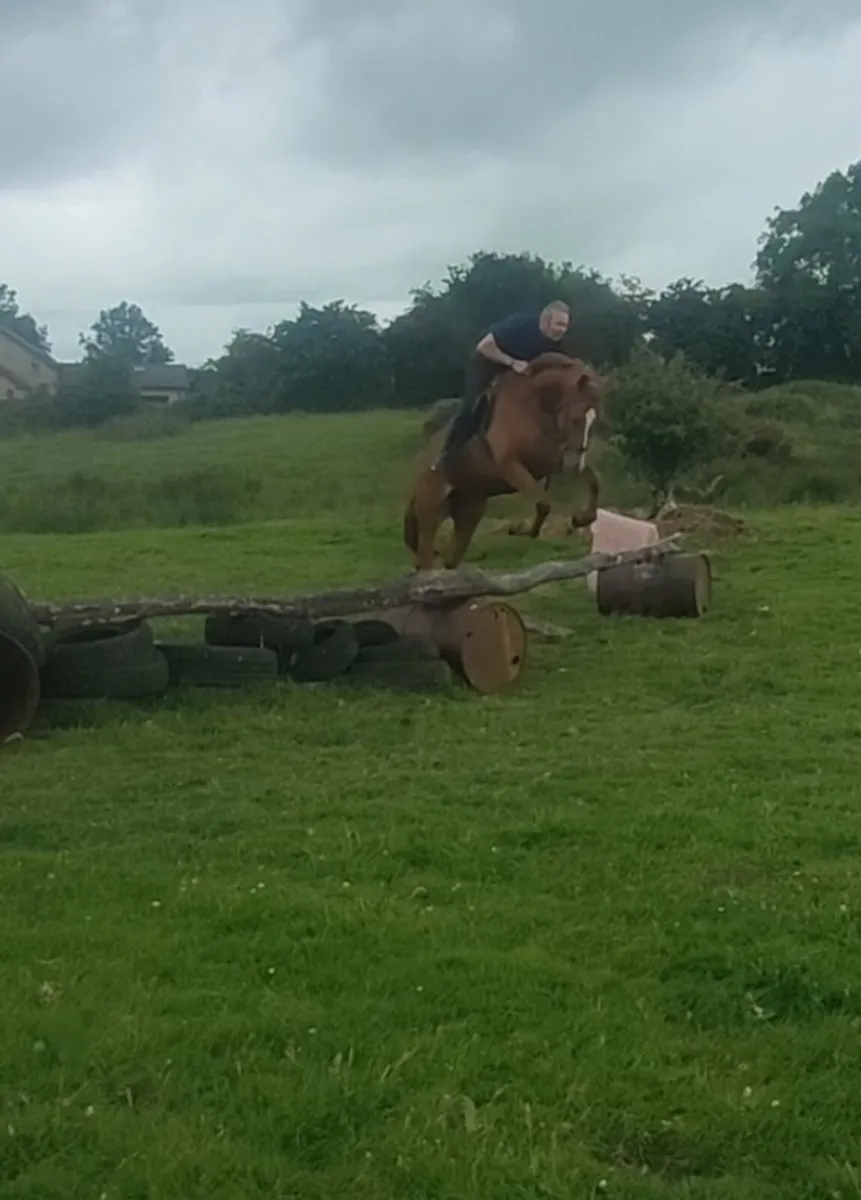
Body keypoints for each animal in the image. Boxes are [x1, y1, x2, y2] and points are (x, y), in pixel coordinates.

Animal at [403, 351, 603, 571]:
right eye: (576, 419)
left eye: (594, 421)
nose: (575, 464)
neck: (534, 406)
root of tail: (419, 464)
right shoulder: (510, 465)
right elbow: (543, 503)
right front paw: (521, 529)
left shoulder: (550, 460)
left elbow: (593, 481)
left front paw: (582, 519)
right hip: (430, 511)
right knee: (425, 560)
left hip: (468, 510)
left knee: (451, 558)